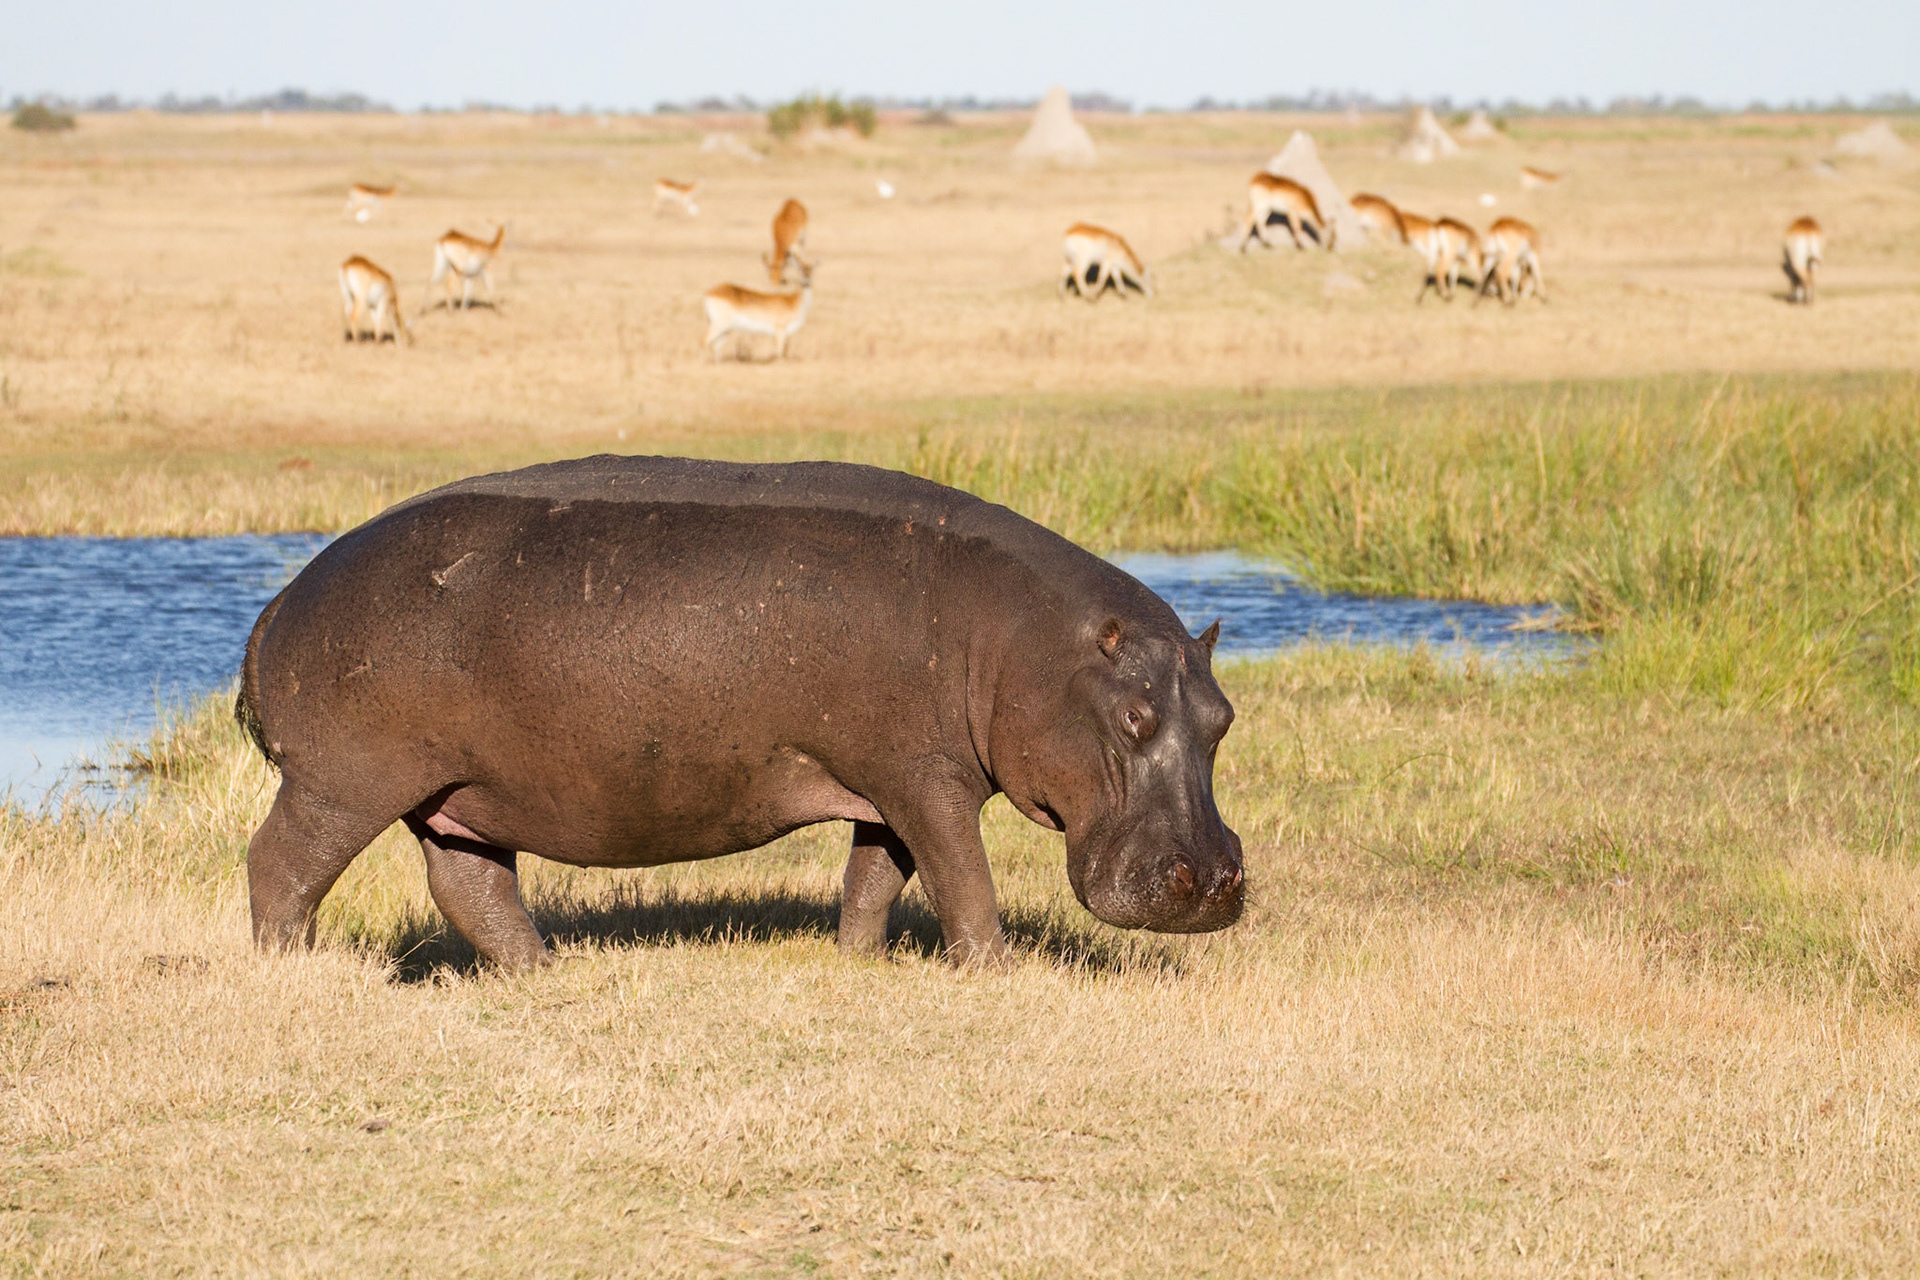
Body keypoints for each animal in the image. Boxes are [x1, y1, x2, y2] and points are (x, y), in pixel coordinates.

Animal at [236, 456, 1243, 968]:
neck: (1026, 642)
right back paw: (295, 968)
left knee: (469, 884)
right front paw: (992, 970)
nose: (1213, 881)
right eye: (1133, 718)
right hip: (343, 782)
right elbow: (962, 876)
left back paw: (543, 971)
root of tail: (278, 603)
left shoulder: (887, 781)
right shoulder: (929, 778)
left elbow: (876, 877)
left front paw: (857, 963)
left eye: (1224, 717)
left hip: (460, 791)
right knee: (282, 864)